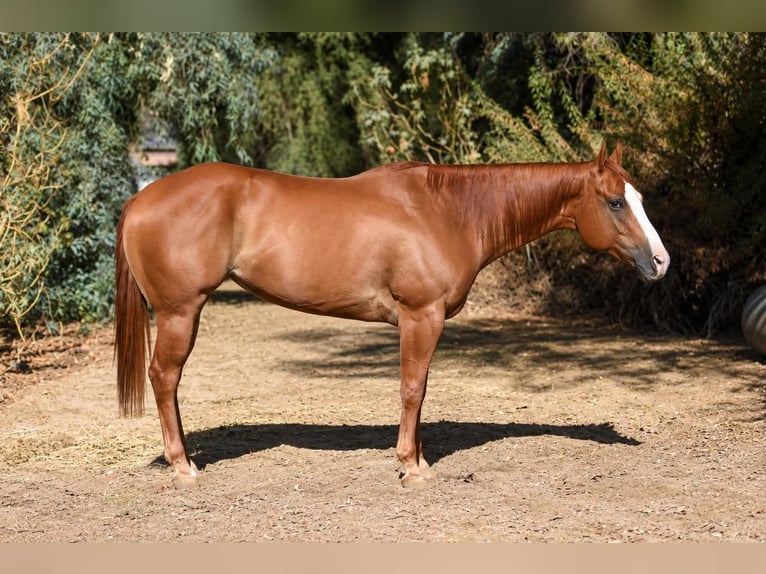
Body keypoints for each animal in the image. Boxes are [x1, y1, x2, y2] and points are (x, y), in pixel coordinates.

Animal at [114, 141, 669, 489]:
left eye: (638, 197)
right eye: (615, 202)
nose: (661, 262)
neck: (449, 211)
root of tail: (141, 198)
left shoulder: (420, 321)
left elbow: (419, 391)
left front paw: (417, 457)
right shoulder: (421, 316)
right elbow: (412, 389)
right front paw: (411, 467)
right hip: (180, 312)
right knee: (164, 378)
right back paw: (183, 466)